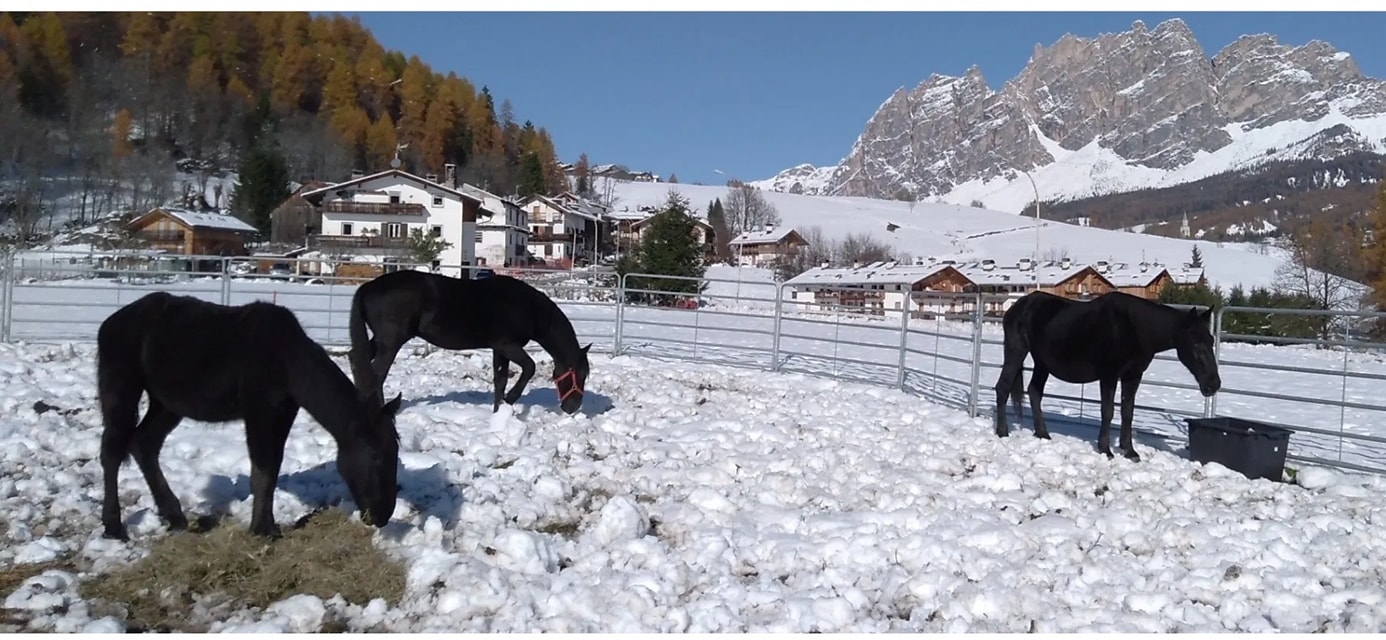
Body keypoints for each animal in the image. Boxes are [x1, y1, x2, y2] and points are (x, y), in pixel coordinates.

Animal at [96, 292, 403, 541]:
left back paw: (175, 517)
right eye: (375, 453)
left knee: (144, 444)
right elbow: (263, 469)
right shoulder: (258, 409)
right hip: (121, 388)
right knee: (112, 450)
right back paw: (114, 526)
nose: (383, 514)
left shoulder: (285, 410)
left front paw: (267, 525)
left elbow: (273, 468)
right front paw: (262, 529)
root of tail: (107, 325)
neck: (291, 366)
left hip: (166, 403)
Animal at [348, 270, 592, 416]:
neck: (529, 308)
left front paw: (498, 411)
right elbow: (529, 368)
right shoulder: (508, 346)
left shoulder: (499, 349)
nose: (572, 407)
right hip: (391, 342)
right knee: (377, 376)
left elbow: (500, 379)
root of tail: (367, 287)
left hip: (380, 341)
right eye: (579, 374)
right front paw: (511, 399)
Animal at [992, 290, 1221, 461]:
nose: (1213, 384)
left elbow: (1127, 413)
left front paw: (1130, 451)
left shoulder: (1132, 376)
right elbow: (1108, 411)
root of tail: (1016, 307)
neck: (1134, 328)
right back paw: (1002, 432)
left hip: (1042, 363)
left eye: (1211, 341)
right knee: (1003, 387)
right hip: (1016, 352)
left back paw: (1043, 434)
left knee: (1034, 392)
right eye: (1195, 344)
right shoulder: (1109, 375)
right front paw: (1106, 450)